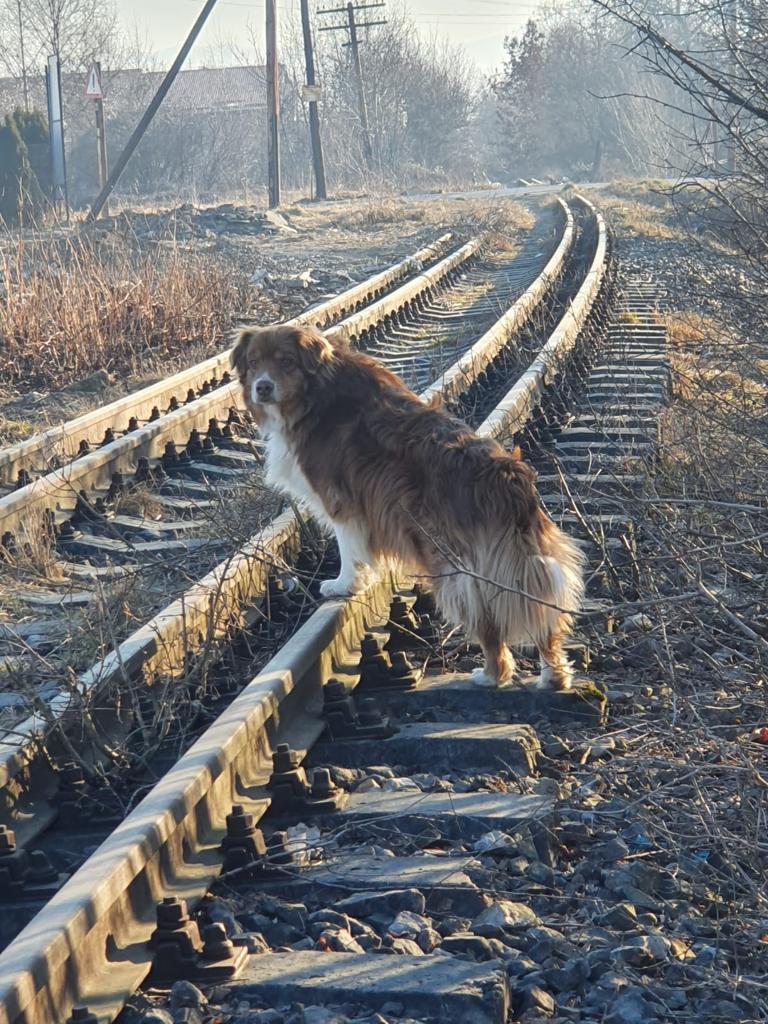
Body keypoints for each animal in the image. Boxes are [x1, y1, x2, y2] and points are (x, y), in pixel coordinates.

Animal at [231, 321, 585, 688]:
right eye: (254, 362)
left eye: (286, 362)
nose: (262, 387)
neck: (314, 393)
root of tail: (509, 479)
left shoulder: (341, 500)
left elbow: (348, 548)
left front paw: (344, 585)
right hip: (524, 560)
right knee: (543, 617)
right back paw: (553, 677)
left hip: (459, 568)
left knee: (487, 620)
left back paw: (490, 675)